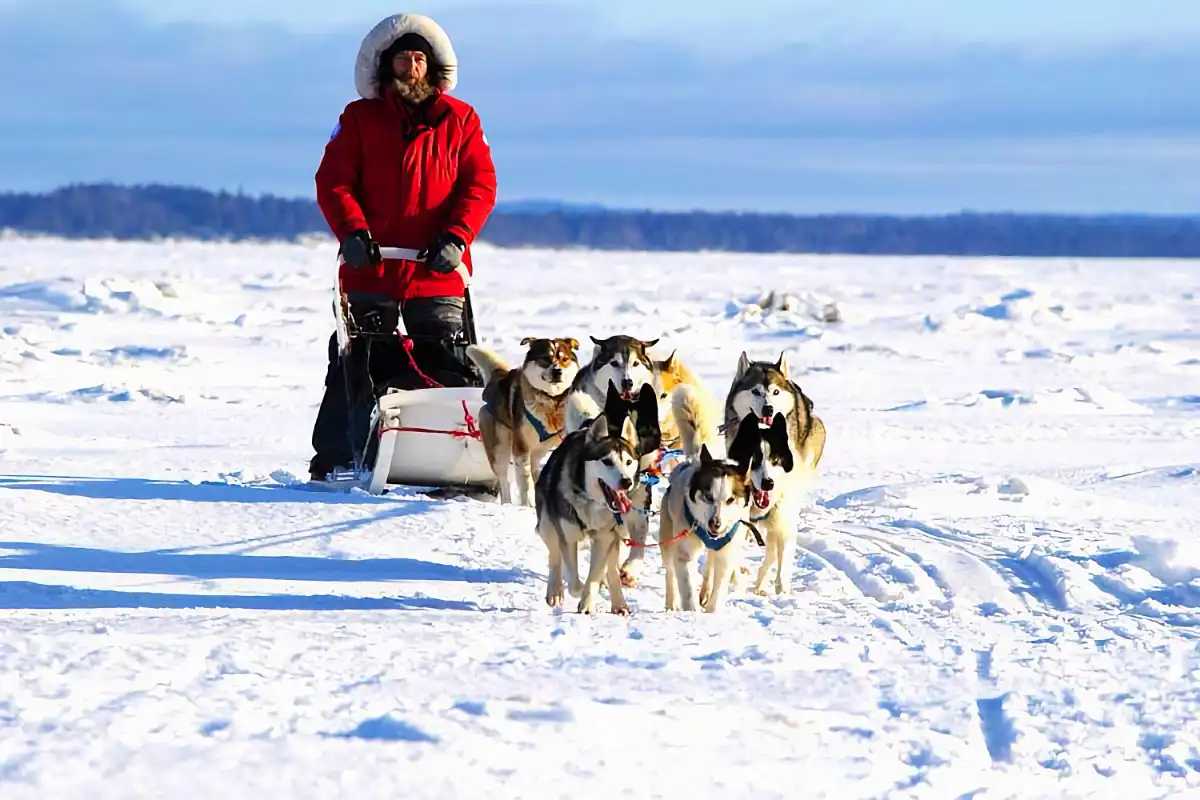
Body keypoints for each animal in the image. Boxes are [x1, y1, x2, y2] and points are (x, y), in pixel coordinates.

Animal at [465, 340, 578, 506]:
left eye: (564, 359)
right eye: (546, 358)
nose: (557, 371)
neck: (552, 402)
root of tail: (500, 377)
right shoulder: (521, 448)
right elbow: (524, 483)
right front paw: (527, 505)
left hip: (538, 451)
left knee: (535, 469)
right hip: (500, 449)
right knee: (504, 480)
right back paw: (508, 504)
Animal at [537, 383, 648, 618]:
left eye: (628, 461)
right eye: (606, 461)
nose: (626, 482)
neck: (590, 502)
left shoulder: (605, 538)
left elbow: (595, 575)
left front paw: (588, 601)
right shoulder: (567, 537)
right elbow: (573, 579)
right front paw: (578, 593)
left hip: (615, 536)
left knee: (612, 569)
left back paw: (619, 602)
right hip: (546, 526)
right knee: (554, 556)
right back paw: (555, 590)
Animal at [657, 412, 758, 614]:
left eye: (730, 500)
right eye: (708, 496)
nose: (715, 524)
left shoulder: (726, 553)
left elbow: (719, 586)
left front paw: (712, 611)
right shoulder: (684, 553)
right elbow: (686, 588)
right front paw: (691, 612)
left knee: (710, 564)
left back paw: (705, 591)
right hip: (668, 538)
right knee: (670, 571)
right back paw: (671, 603)